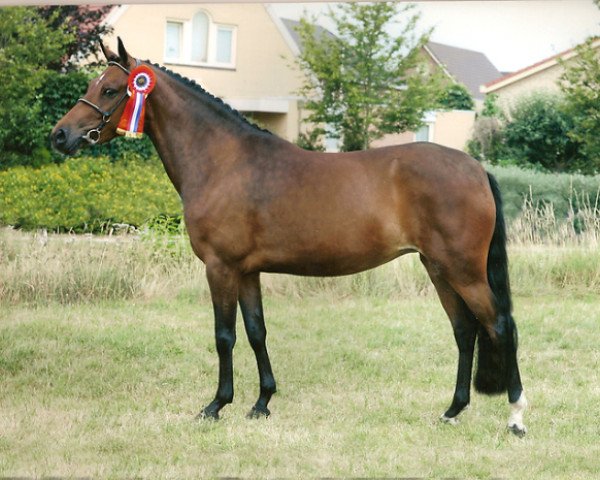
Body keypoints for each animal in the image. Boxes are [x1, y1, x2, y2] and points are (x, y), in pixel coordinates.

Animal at [52, 38, 528, 436]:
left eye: (111, 89)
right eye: (96, 84)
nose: (60, 135)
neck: (223, 161)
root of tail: (475, 168)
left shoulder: (221, 268)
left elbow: (224, 336)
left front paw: (216, 406)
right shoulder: (247, 272)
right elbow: (256, 331)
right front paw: (261, 402)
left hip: (463, 270)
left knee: (500, 325)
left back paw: (516, 418)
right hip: (438, 268)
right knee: (465, 331)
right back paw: (452, 411)